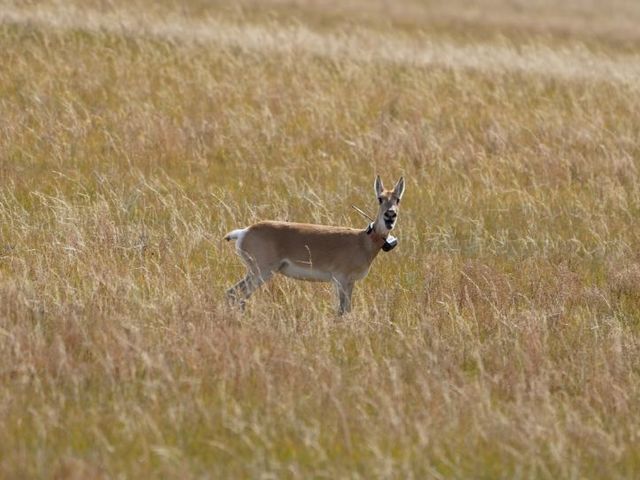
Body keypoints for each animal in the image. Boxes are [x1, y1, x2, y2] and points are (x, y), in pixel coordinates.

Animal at [224, 176, 405, 314]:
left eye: (397, 199)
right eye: (380, 198)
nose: (390, 215)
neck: (363, 241)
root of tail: (244, 231)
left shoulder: (350, 282)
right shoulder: (340, 280)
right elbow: (341, 311)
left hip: (257, 273)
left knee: (234, 294)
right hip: (261, 272)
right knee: (236, 294)